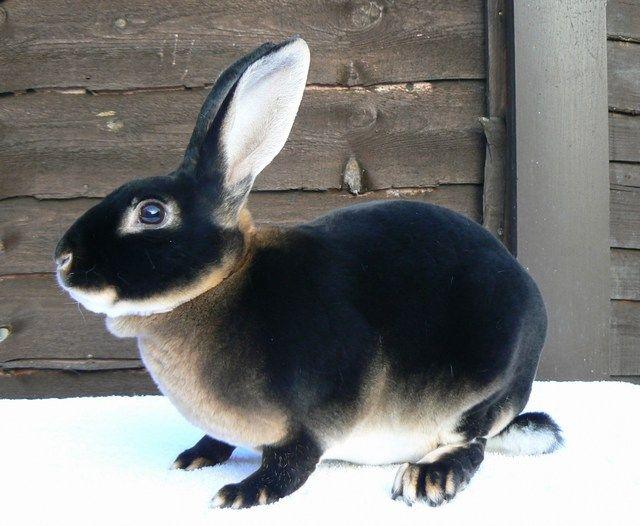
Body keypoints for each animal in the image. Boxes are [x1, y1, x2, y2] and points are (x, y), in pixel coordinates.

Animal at [54, 37, 562, 509]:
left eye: (152, 213)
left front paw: (243, 493)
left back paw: (427, 479)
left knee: (472, 444)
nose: (63, 259)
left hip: (484, 389)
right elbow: (220, 439)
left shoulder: (312, 417)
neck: (219, 285)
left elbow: (292, 463)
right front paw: (194, 456)